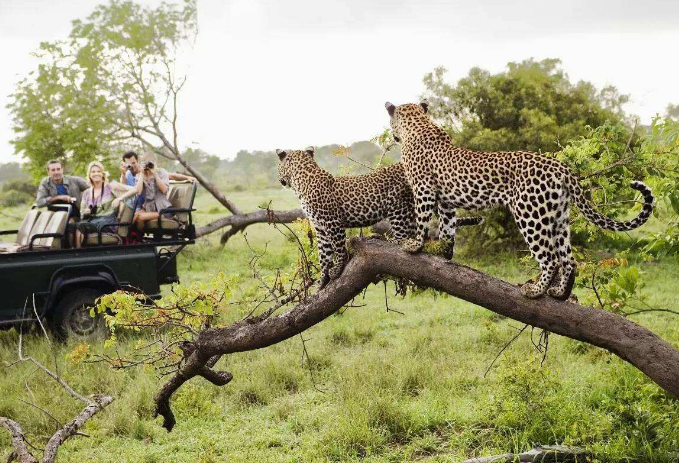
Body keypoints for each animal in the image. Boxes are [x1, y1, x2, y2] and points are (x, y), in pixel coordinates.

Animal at [276, 147, 484, 288]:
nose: (280, 180)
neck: (302, 181)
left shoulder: (332, 223)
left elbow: (339, 249)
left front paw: (337, 269)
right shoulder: (319, 228)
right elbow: (324, 255)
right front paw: (321, 281)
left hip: (399, 207)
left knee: (404, 236)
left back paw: (389, 240)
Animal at [382, 102, 652, 300]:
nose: (393, 135)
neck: (418, 125)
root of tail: (562, 168)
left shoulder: (423, 189)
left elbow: (422, 219)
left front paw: (414, 244)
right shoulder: (446, 200)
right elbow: (448, 227)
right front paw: (445, 252)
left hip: (529, 214)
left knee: (550, 258)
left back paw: (535, 291)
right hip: (558, 217)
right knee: (568, 259)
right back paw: (559, 293)